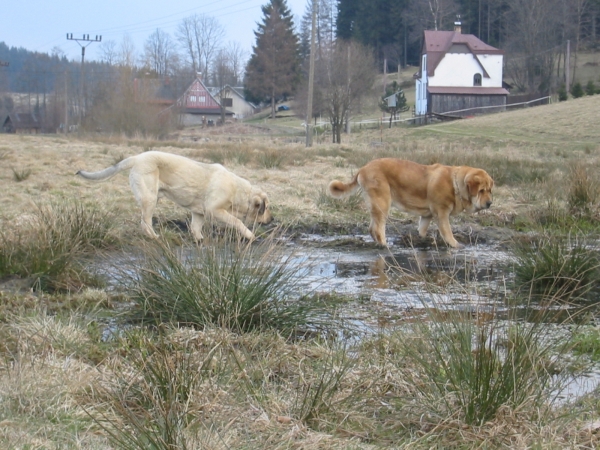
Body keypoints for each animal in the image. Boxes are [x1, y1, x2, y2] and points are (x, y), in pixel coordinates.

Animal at [76, 150, 274, 243]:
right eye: (267, 208)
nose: (272, 219)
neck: (239, 192)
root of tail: (137, 157)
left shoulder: (199, 213)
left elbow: (195, 227)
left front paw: (200, 240)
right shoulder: (215, 210)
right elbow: (237, 221)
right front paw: (250, 236)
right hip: (150, 198)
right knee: (145, 222)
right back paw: (155, 238)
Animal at [328, 158, 492, 248]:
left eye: (490, 190)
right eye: (481, 190)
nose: (490, 203)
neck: (455, 184)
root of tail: (363, 168)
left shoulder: (427, 216)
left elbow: (422, 230)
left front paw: (423, 240)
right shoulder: (442, 213)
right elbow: (447, 232)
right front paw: (456, 245)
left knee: (371, 228)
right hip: (383, 203)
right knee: (378, 228)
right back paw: (384, 245)